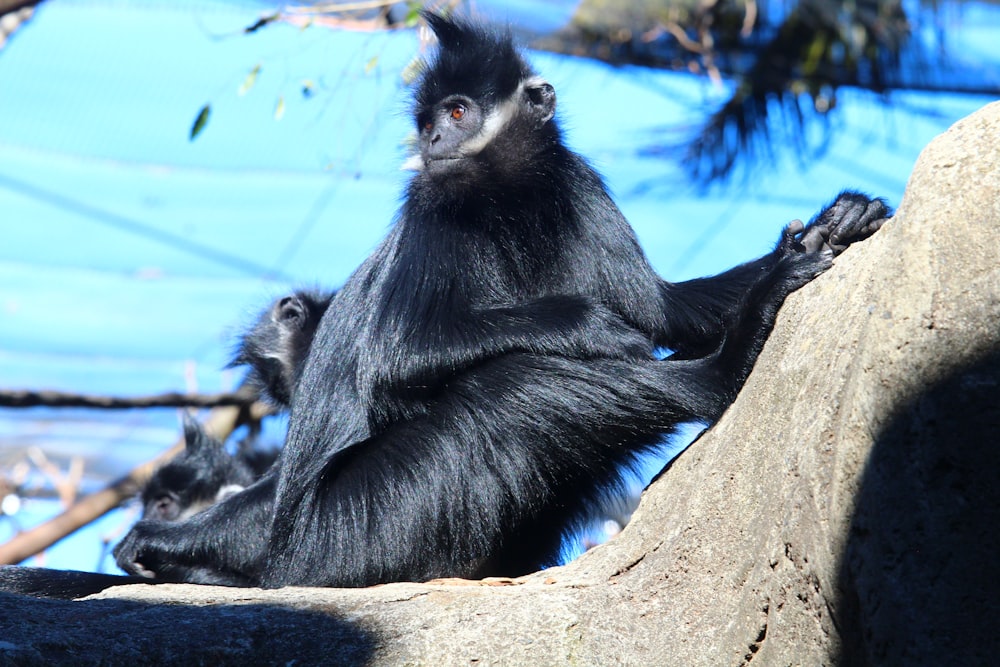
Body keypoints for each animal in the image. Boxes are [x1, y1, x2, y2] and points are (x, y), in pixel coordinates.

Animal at [0, 13, 892, 596]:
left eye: (457, 112)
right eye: (429, 119)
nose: (431, 140)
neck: (506, 195)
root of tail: (294, 568)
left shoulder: (575, 182)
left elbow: (664, 310)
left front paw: (827, 225)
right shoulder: (432, 203)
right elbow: (404, 359)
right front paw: (598, 327)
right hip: (355, 532)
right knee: (512, 386)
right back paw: (725, 366)